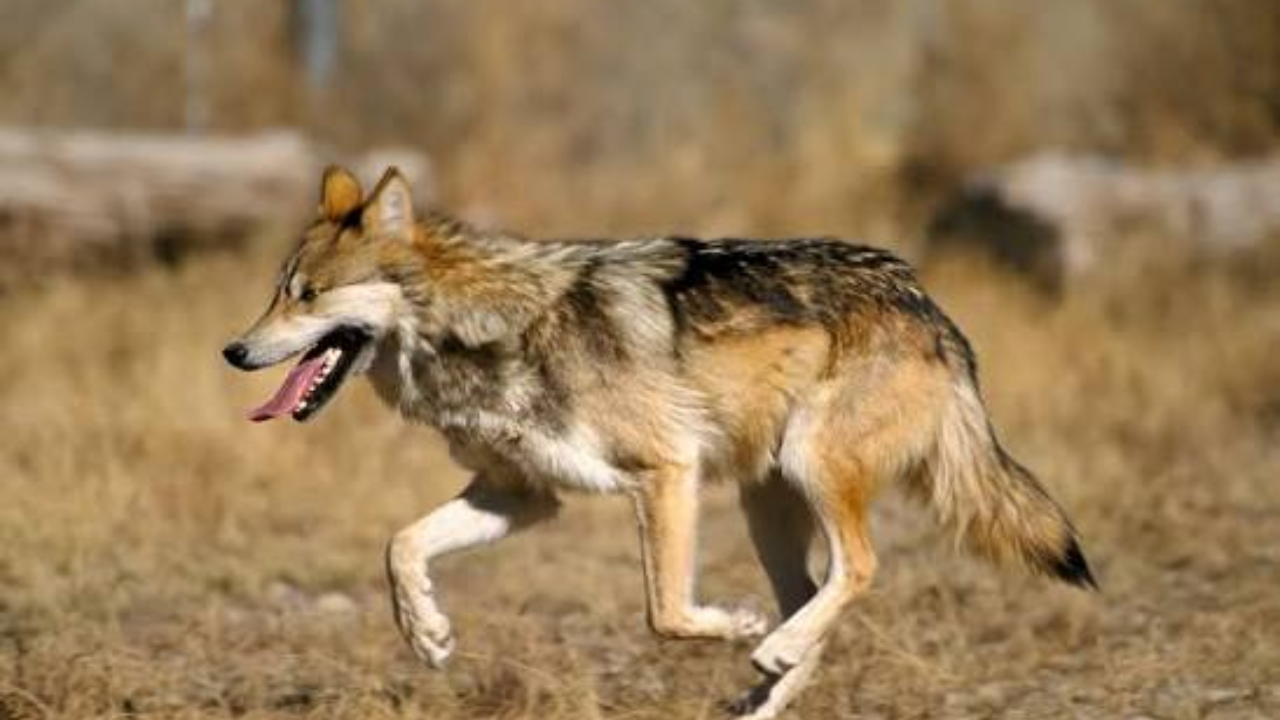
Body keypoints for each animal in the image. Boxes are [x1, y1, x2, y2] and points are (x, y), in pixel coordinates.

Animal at [223, 166, 1096, 719]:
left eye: (308, 295)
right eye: (275, 292)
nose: (232, 350)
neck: (487, 328)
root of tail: (926, 303)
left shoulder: (665, 472)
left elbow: (666, 613)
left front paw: (735, 626)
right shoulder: (522, 495)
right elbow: (399, 546)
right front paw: (428, 634)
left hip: (807, 469)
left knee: (860, 569)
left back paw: (768, 646)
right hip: (766, 503)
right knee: (816, 598)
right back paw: (768, 682)